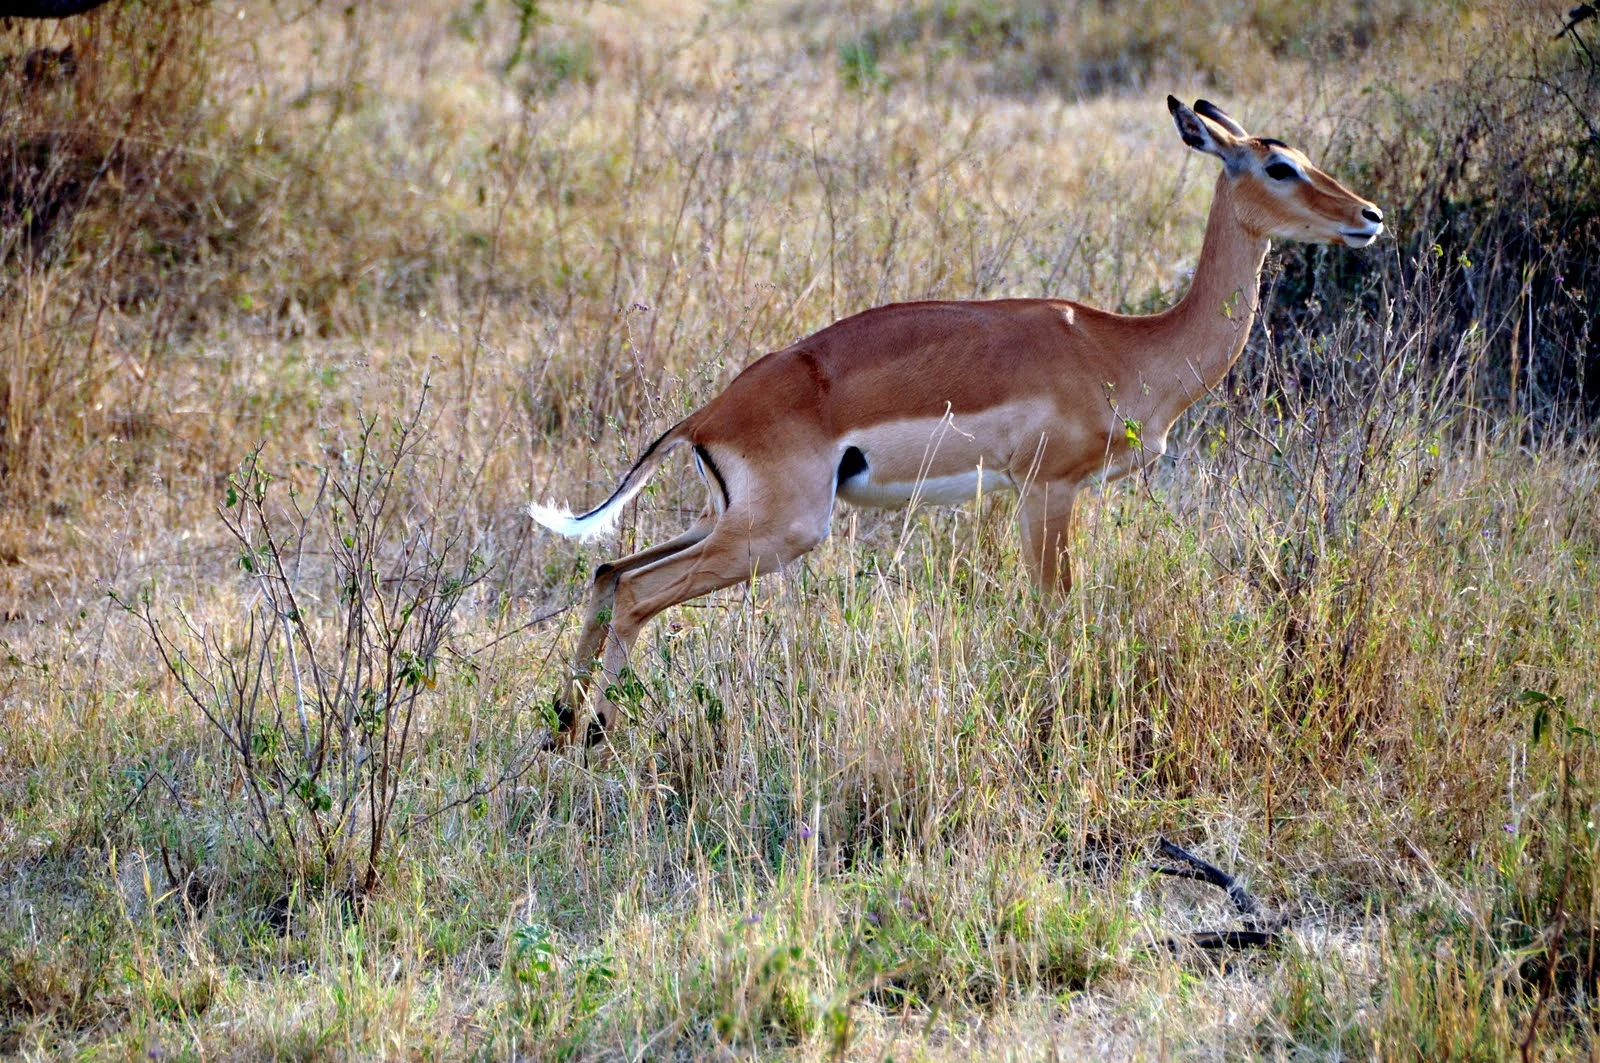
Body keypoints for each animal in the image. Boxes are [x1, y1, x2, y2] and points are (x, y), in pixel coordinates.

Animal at [531, 97, 1384, 746]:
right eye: (1279, 166)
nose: (1369, 216)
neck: (1124, 345)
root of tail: (707, 413)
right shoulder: (1046, 490)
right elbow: (1055, 612)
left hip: (727, 520)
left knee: (609, 571)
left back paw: (563, 725)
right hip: (780, 531)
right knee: (637, 591)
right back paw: (589, 738)